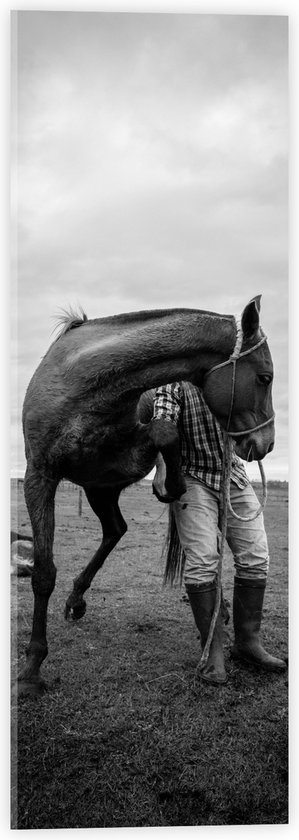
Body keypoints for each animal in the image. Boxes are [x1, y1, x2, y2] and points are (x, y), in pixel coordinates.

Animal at [18, 296, 276, 696]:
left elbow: (165, 431)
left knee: (118, 530)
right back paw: (76, 601)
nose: (266, 443)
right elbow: (43, 574)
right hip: (98, 489)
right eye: (265, 377)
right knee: (114, 531)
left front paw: (173, 484)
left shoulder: (128, 457)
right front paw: (31, 670)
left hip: (100, 488)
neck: (82, 387)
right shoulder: (40, 477)